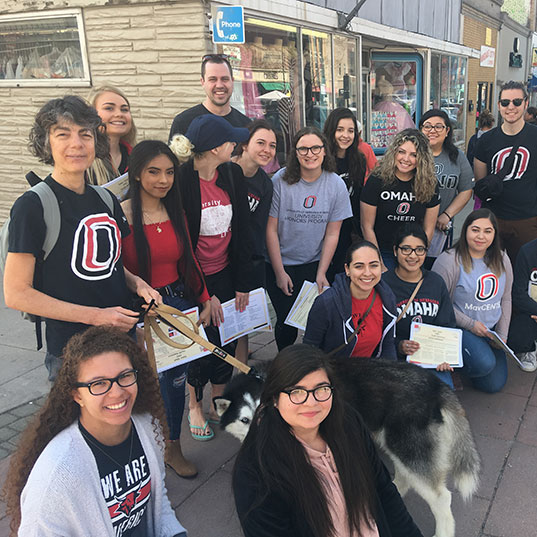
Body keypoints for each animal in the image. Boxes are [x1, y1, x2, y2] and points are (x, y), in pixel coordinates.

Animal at [215, 356, 482, 536]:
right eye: (245, 420)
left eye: (266, 413)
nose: (259, 441)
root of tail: (436, 385)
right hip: (394, 441)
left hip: (407, 446)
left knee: (441, 497)